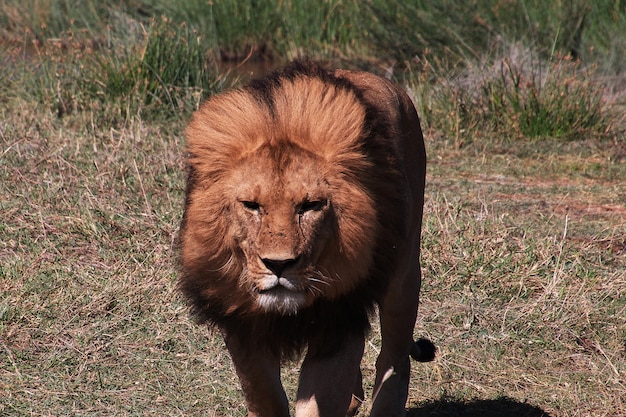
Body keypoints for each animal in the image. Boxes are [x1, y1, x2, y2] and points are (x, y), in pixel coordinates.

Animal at [179, 59, 434, 416]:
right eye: (251, 205)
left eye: (310, 206)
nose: (278, 265)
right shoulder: (242, 324)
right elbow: (265, 396)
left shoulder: (341, 316)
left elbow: (318, 400)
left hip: (403, 273)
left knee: (393, 360)